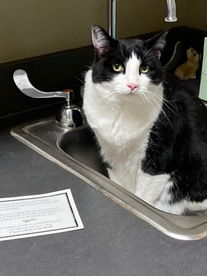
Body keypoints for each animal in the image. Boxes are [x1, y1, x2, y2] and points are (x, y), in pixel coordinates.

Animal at [83, 25, 207, 216]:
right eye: (117, 67)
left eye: (145, 69)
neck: (123, 110)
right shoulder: (110, 155)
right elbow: (121, 186)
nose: (133, 85)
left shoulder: (159, 161)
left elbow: (142, 198)